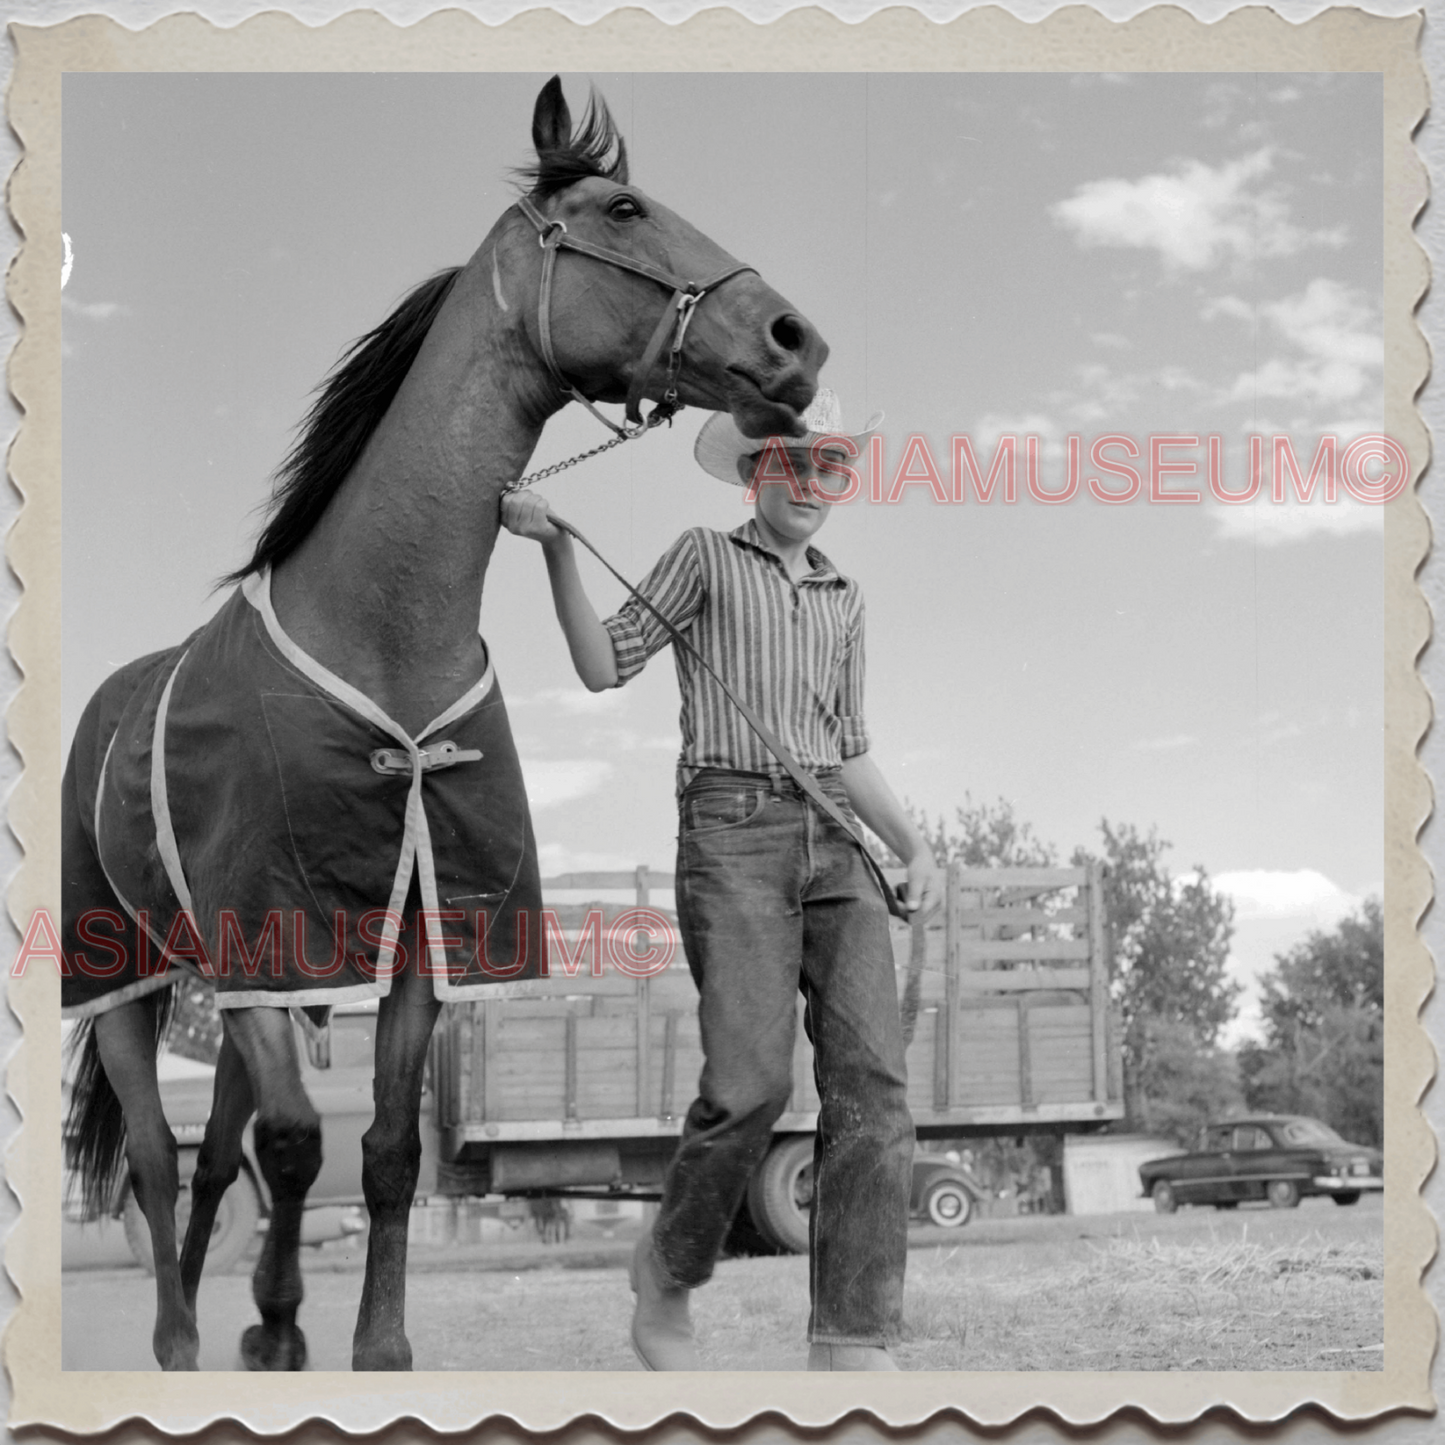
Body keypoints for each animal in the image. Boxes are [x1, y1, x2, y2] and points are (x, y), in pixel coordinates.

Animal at [62, 73, 832, 1369]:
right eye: (622, 209)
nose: (796, 340)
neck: (383, 629)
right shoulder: (276, 933)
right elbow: (296, 1146)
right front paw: (280, 1328)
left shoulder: (422, 940)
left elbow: (375, 1154)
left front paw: (356, 1342)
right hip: (130, 974)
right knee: (165, 1162)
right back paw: (179, 1336)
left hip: (247, 981)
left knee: (216, 1157)